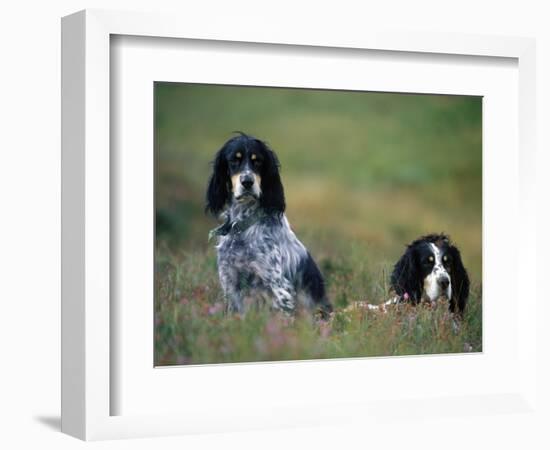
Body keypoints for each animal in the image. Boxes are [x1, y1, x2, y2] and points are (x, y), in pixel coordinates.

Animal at [205, 132, 332, 318]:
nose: (247, 182)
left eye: (258, 161)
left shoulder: (280, 287)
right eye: (234, 160)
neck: (244, 225)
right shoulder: (230, 282)